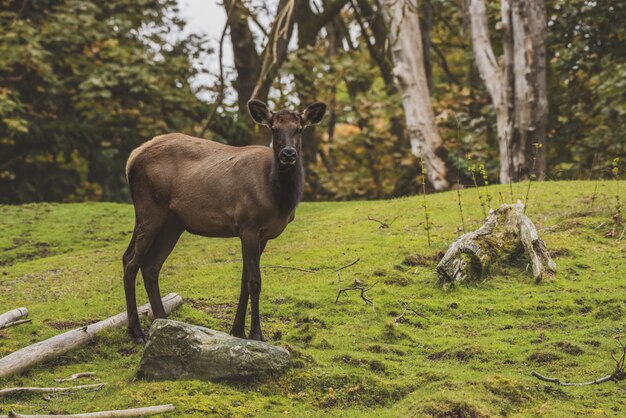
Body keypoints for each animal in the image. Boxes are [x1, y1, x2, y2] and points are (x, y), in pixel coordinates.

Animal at [123, 99, 326, 342]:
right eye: (274, 128)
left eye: (300, 129)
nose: (288, 154)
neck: (278, 196)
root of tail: (131, 159)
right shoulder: (248, 223)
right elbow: (255, 281)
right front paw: (256, 334)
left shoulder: (263, 234)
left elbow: (244, 281)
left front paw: (237, 331)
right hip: (150, 208)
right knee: (131, 262)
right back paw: (137, 332)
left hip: (173, 222)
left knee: (150, 265)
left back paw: (163, 322)